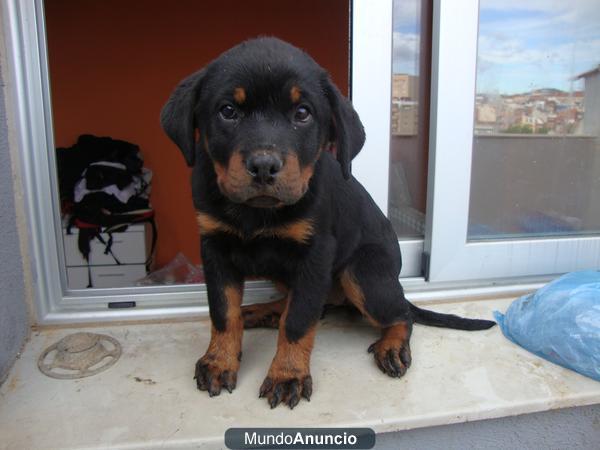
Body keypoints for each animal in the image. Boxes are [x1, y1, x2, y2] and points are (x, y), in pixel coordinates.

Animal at [162, 37, 494, 410]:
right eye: (228, 111)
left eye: (302, 113)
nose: (263, 166)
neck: (257, 212)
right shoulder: (215, 248)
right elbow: (223, 311)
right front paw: (219, 361)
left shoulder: (316, 253)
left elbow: (298, 321)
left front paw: (287, 374)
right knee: (309, 304)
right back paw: (262, 311)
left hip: (362, 274)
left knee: (398, 314)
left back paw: (392, 345)